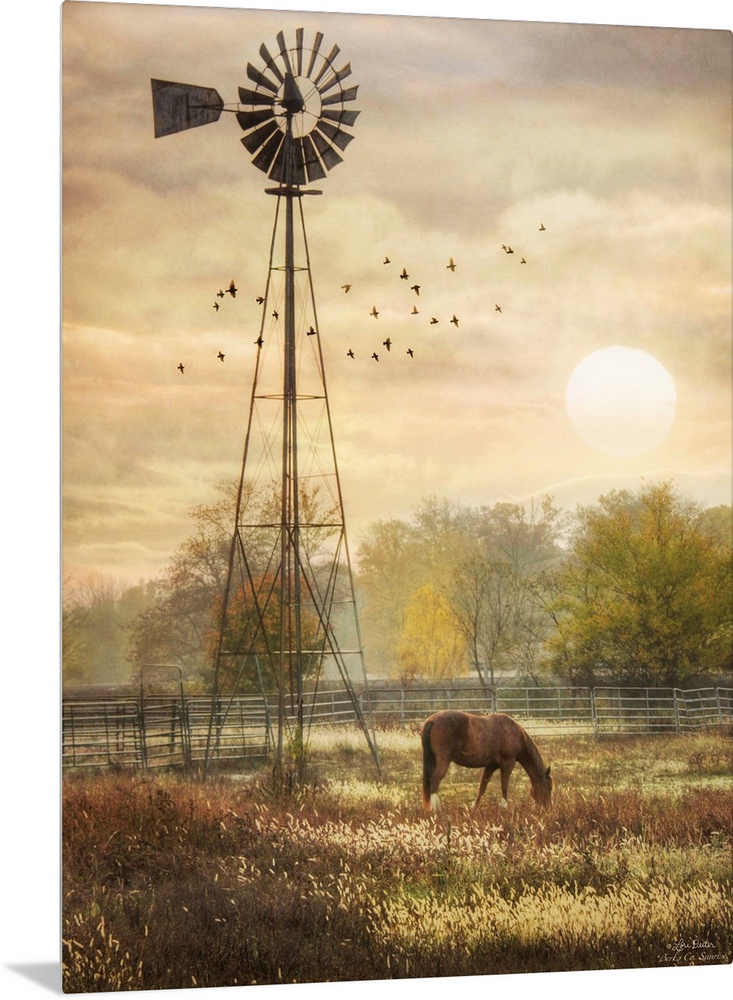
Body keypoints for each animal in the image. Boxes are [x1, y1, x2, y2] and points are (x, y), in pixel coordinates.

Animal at [420, 712, 552, 812]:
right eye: (549, 787)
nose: (548, 808)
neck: (515, 733)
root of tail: (432, 721)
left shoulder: (490, 766)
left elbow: (482, 787)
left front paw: (474, 808)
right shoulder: (508, 764)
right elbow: (504, 786)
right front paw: (504, 807)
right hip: (443, 761)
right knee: (434, 782)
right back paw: (436, 809)